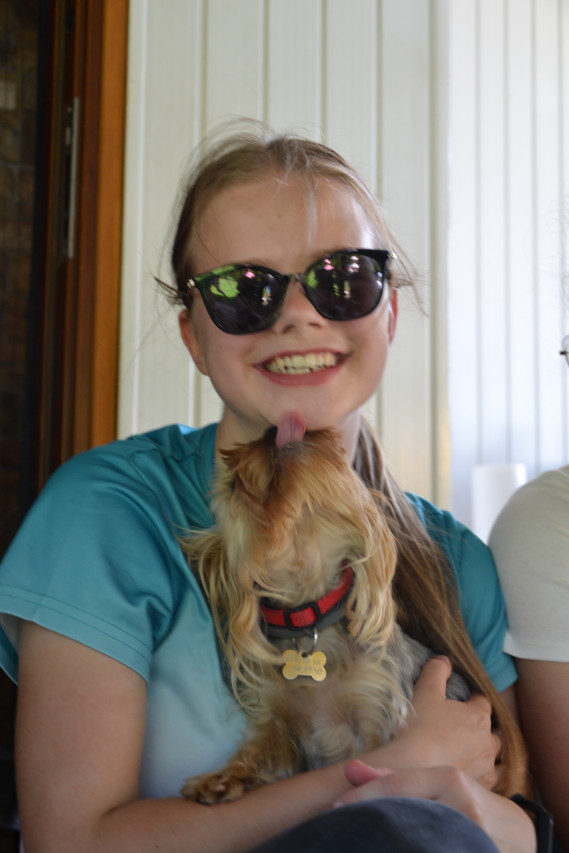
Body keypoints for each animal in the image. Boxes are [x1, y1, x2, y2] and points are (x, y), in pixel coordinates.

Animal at [180, 414, 475, 804]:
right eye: (233, 485)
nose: (273, 430)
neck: (307, 612)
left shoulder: (375, 712)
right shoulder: (278, 725)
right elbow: (260, 752)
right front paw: (218, 779)